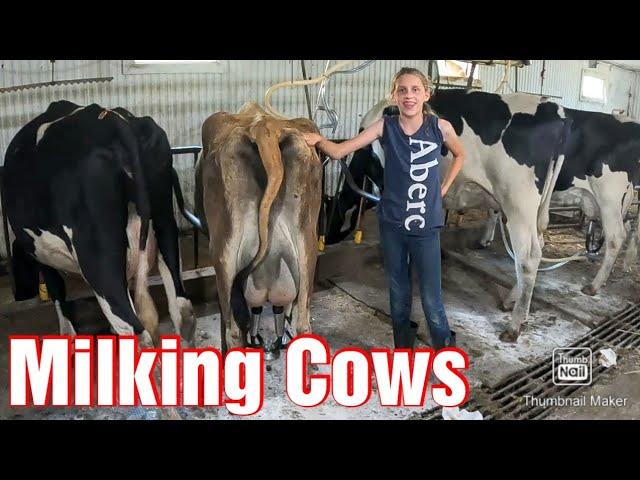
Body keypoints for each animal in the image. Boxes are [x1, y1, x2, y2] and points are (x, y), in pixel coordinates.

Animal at [3, 101, 195, 346]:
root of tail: (113, 121)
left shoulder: (42, 255)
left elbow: (57, 292)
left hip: (97, 257)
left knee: (133, 329)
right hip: (165, 220)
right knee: (182, 310)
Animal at [328, 90, 572, 342]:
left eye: (328, 211)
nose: (326, 239)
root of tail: (556, 110)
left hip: (518, 202)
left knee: (528, 258)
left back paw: (514, 326)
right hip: (534, 209)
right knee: (538, 247)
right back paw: (513, 302)